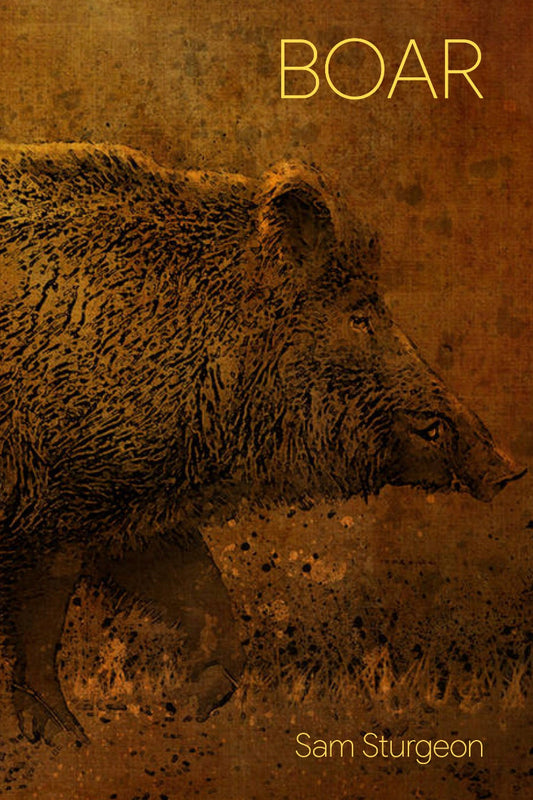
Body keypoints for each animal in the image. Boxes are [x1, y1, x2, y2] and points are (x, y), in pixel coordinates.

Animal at [0, 143, 524, 744]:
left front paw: (182, 711)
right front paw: (70, 740)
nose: (507, 470)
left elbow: (212, 608)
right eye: (359, 316)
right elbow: (40, 635)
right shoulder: (53, 510)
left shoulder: (134, 520)